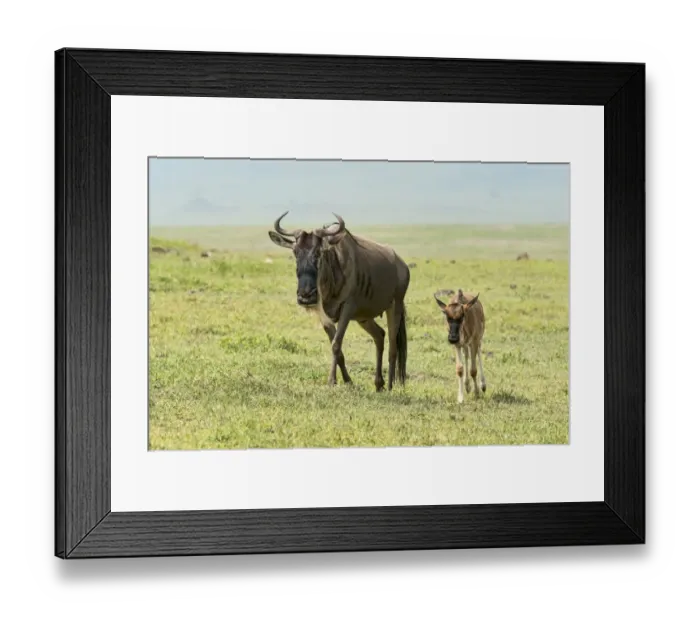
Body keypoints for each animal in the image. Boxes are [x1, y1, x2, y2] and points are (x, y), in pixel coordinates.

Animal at [268, 211, 410, 392]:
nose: (305, 296)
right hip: (364, 318)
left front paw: (331, 381)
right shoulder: (323, 315)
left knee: (393, 347)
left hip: (395, 306)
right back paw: (379, 384)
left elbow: (336, 344)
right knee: (379, 336)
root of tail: (402, 265)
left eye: (319, 253)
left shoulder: (347, 309)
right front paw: (348, 381)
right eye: (295, 252)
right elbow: (337, 347)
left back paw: (390, 386)